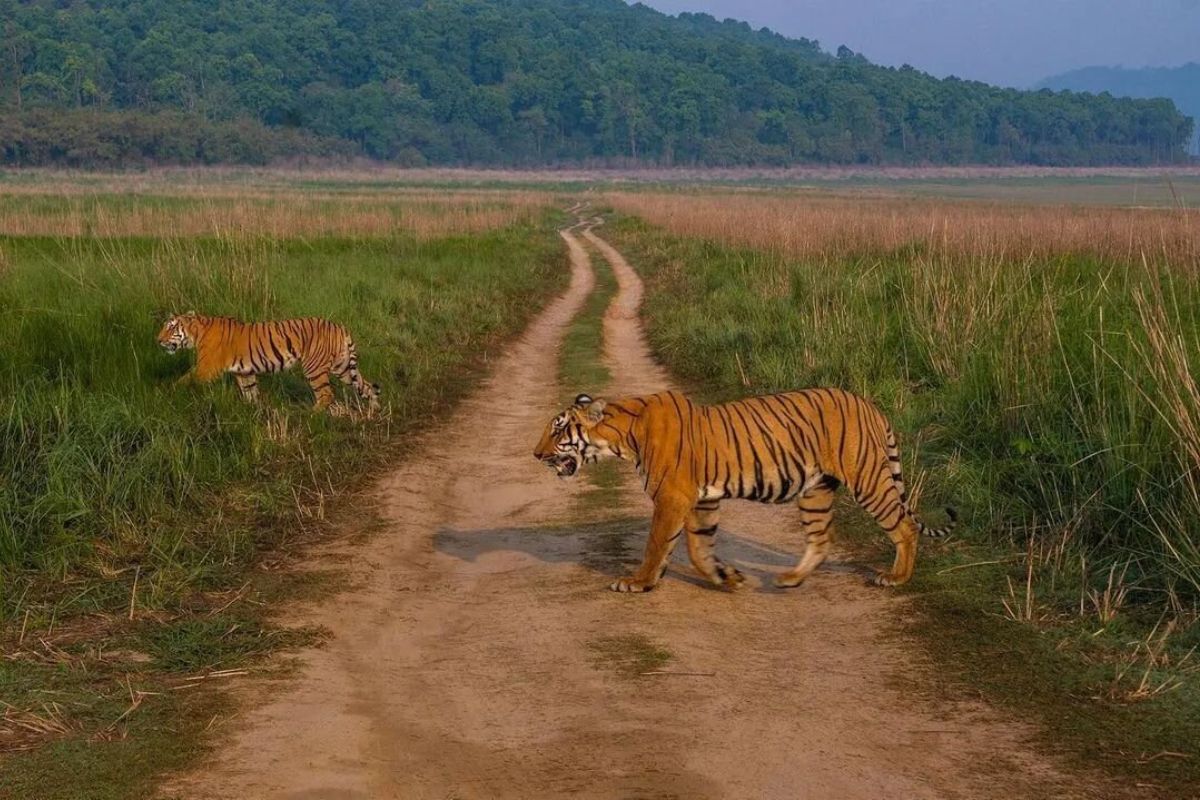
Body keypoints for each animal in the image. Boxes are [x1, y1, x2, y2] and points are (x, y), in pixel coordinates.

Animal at [157, 312, 380, 414]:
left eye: (171, 328)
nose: (158, 340)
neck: (197, 333)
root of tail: (340, 327)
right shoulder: (244, 372)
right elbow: (251, 393)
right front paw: (256, 411)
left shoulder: (206, 368)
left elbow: (183, 380)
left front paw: (166, 394)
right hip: (342, 367)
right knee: (367, 386)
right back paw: (375, 410)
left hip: (314, 367)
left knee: (326, 394)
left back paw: (311, 414)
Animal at [534, 389, 954, 593]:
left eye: (558, 429)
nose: (536, 454)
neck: (623, 437)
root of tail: (870, 405)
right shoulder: (702, 500)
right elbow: (700, 549)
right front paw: (728, 578)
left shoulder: (673, 497)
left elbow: (658, 544)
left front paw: (638, 583)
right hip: (815, 491)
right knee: (821, 538)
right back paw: (790, 579)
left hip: (867, 479)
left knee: (904, 526)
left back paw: (896, 578)